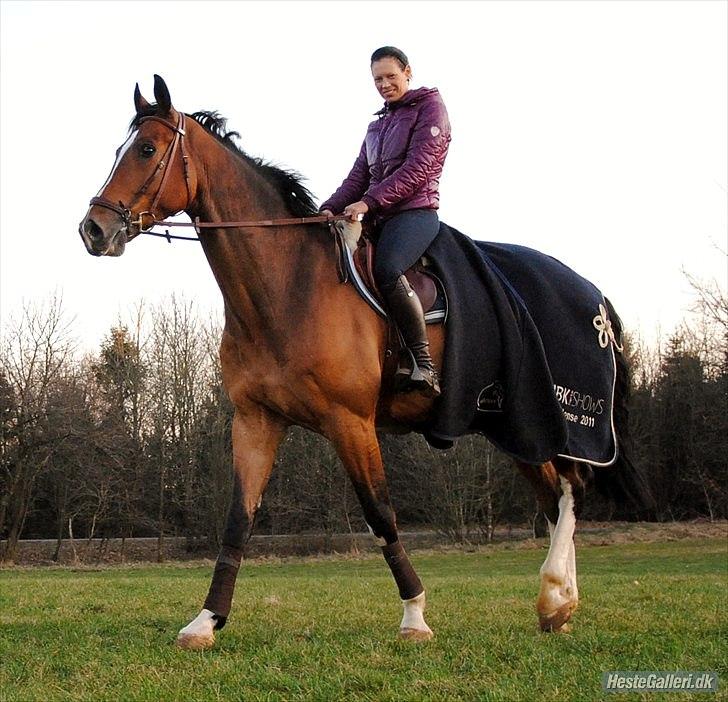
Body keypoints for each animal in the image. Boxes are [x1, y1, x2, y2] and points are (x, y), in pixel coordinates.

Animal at [79, 74, 644, 652]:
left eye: (147, 150)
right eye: (122, 149)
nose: (93, 229)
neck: (290, 285)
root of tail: (594, 297)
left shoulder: (349, 422)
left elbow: (380, 515)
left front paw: (414, 616)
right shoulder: (256, 421)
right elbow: (238, 519)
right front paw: (206, 621)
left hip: (553, 423)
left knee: (572, 491)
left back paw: (555, 596)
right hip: (516, 427)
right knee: (557, 498)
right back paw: (559, 607)